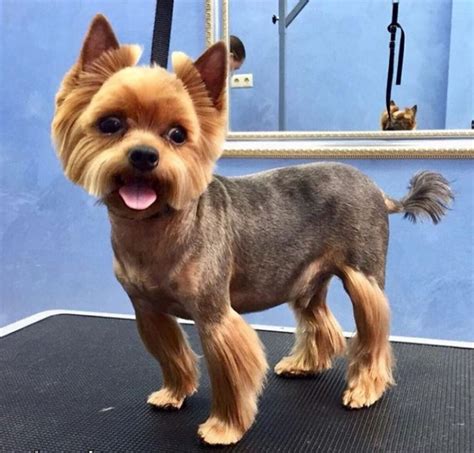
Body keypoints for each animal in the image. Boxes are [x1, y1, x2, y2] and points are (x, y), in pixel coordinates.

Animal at [50, 14, 454, 444]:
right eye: (110, 124)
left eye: (177, 134)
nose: (144, 156)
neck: (158, 223)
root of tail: (378, 190)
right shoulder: (148, 310)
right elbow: (171, 355)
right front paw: (173, 393)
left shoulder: (214, 315)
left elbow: (228, 376)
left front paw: (223, 427)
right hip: (307, 275)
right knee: (320, 321)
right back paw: (303, 364)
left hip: (364, 276)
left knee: (373, 333)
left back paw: (364, 388)